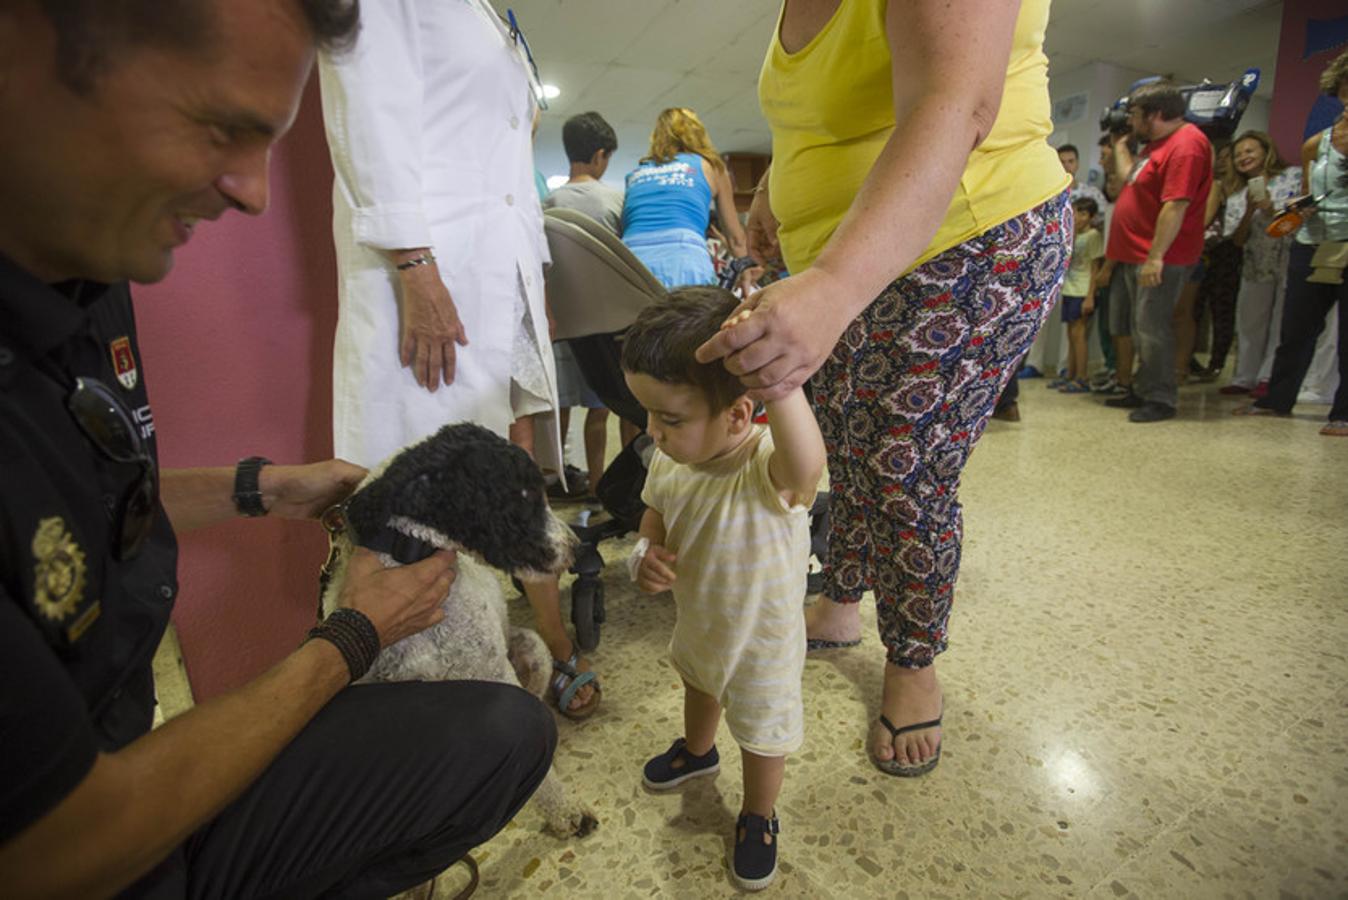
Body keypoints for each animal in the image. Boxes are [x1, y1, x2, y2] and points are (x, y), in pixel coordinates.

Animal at [320, 425, 595, 840]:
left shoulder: (495, 674)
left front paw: (565, 811)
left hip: (533, 652)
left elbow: (545, 778)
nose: (575, 547)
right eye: (524, 494)